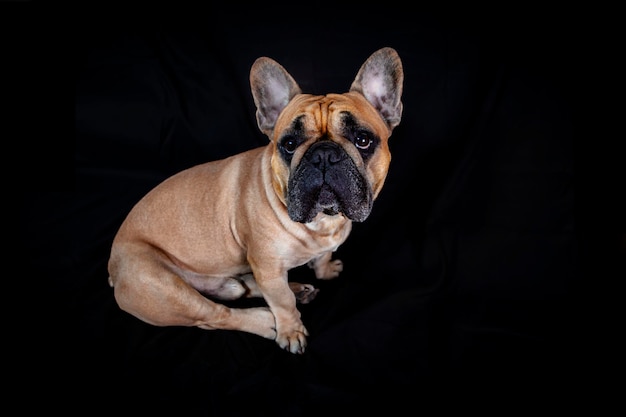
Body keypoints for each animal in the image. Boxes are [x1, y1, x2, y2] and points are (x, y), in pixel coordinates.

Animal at [108, 47, 402, 352]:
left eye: (363, 139)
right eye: (289, 144)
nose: (323, 155)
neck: (322, 221)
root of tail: (112, 269)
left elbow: (320, 260)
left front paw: (325, 269)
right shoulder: (267, 267)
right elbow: (282, 304)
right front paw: (290, 331)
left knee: (244, 288)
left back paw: (297, 289)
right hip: (168, 291)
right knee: (217, 315)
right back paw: (265, 320)